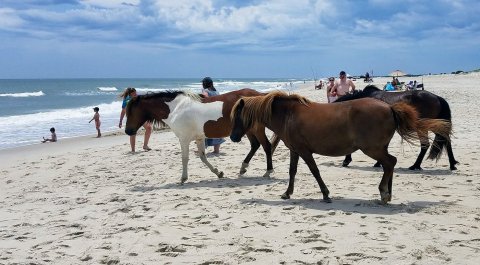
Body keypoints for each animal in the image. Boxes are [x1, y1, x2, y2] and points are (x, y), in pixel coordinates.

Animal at [124, 88, 274, 184]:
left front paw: (183, 179)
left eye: (130, 111)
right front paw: (218, 173)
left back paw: (268, 171)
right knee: (255, 145)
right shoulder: (199, 138)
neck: (176, 108)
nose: (127, 131)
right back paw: (243, 167)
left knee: (266, 146)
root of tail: (261, 95)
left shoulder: (184, 139)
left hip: (256, 129)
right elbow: (203, 157)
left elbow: (185, 158)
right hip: (248, 130)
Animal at [231, 91, 452, 202]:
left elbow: (315, 171)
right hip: (379, 148)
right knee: (390, 164)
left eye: (238, 116)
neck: (288, 114)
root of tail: (390, 107)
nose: (233, 137)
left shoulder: (304, 151)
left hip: (372, 149)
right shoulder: (295, 150)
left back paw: (383, 193)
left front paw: (326, 194)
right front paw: (287, 193)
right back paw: (388, 192)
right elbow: (292, 171)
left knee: (390, 163)